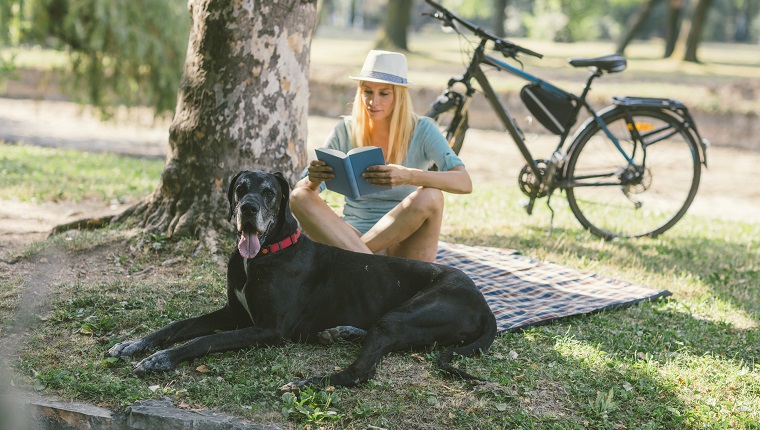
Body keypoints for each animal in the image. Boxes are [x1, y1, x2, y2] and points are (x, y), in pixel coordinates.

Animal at [108, 171, 498, 390]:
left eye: (269, 192)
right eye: (240, 188)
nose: (247, 208)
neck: (264, 254)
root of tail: (484, 303)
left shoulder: (269, 329)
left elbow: (203, 340)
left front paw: (161, 358)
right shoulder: (234, 313)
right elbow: (179, 325)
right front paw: (135, 344)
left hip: (409, 314)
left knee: (360, 372)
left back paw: (307, 382)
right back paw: (341, 332)